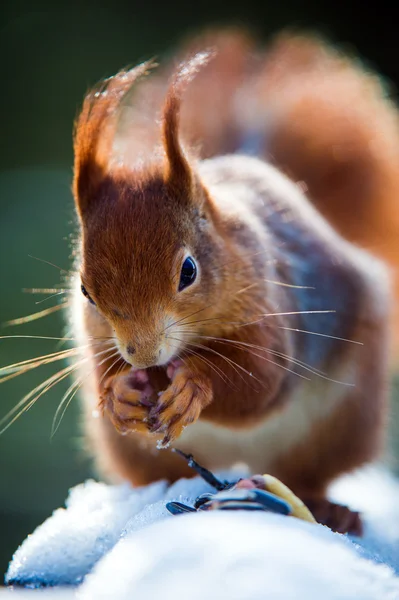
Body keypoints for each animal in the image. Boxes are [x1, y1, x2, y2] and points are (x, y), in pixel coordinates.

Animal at [70, 30, 392, 536]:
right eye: (85, 290)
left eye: (188, 271)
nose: (143, 355)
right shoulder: (97, 338)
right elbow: (105, 369)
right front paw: (119, 395)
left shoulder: (274, 305)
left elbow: (261, 381)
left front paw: (195, 384)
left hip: (339, 426)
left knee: (306, 475)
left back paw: (327, 509)